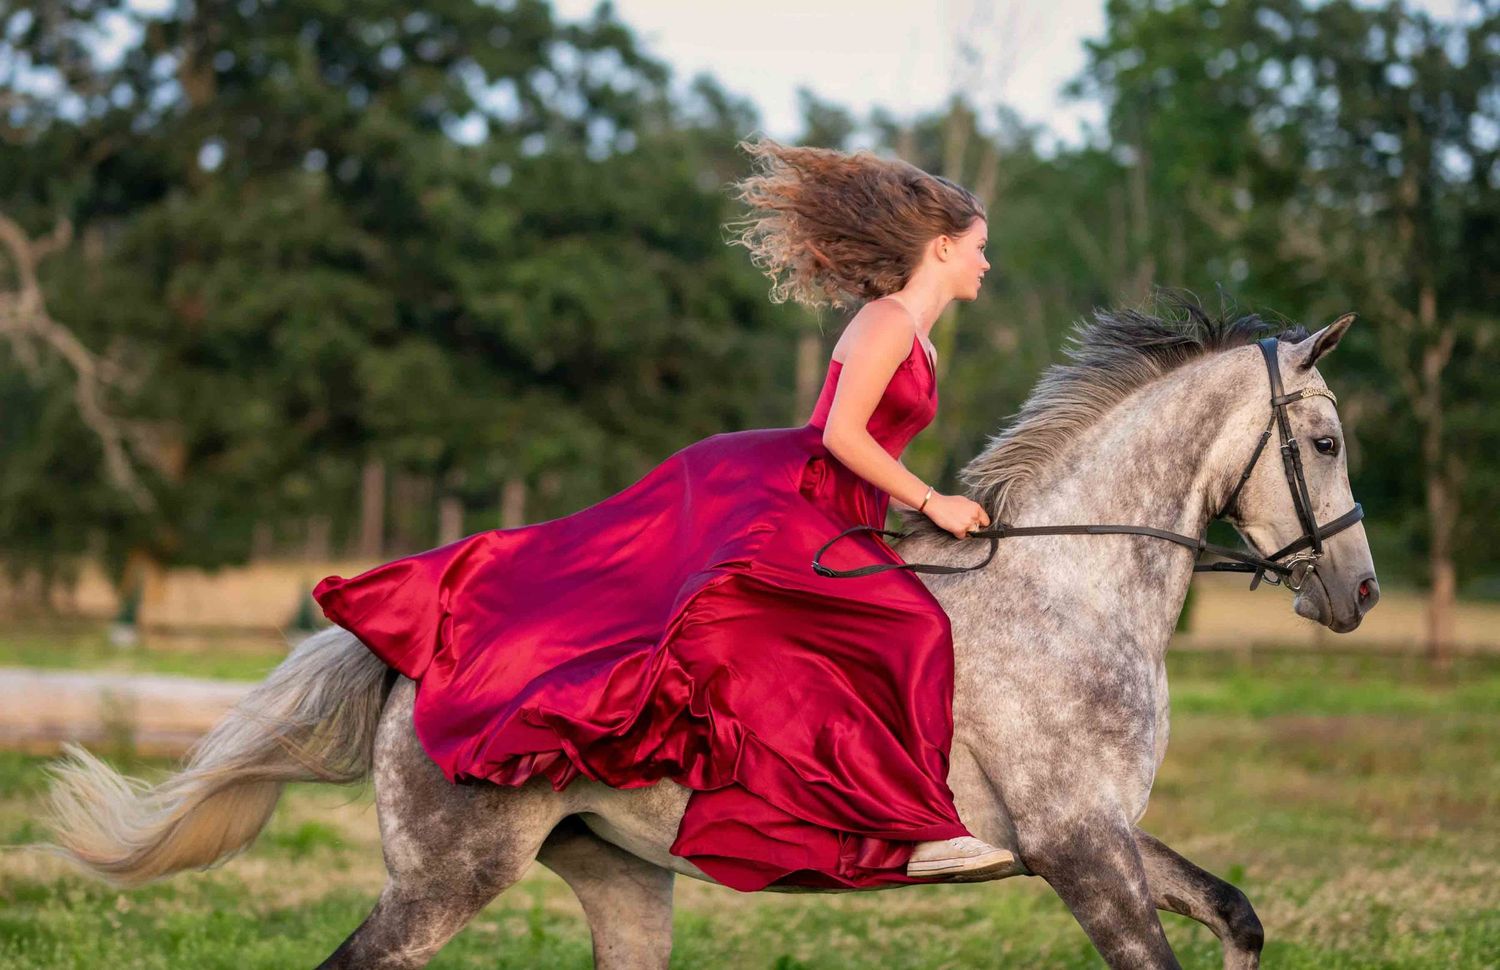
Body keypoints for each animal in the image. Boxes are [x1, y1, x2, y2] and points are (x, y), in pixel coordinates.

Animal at [41, 302, 1379, 969]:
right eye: (1322, 441)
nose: (1357, 594)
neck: (1071, 587)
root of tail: (416, 653)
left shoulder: (1097, 834)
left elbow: (1238, 915)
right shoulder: (1076, 847)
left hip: (621, 879)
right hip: (444, 882)